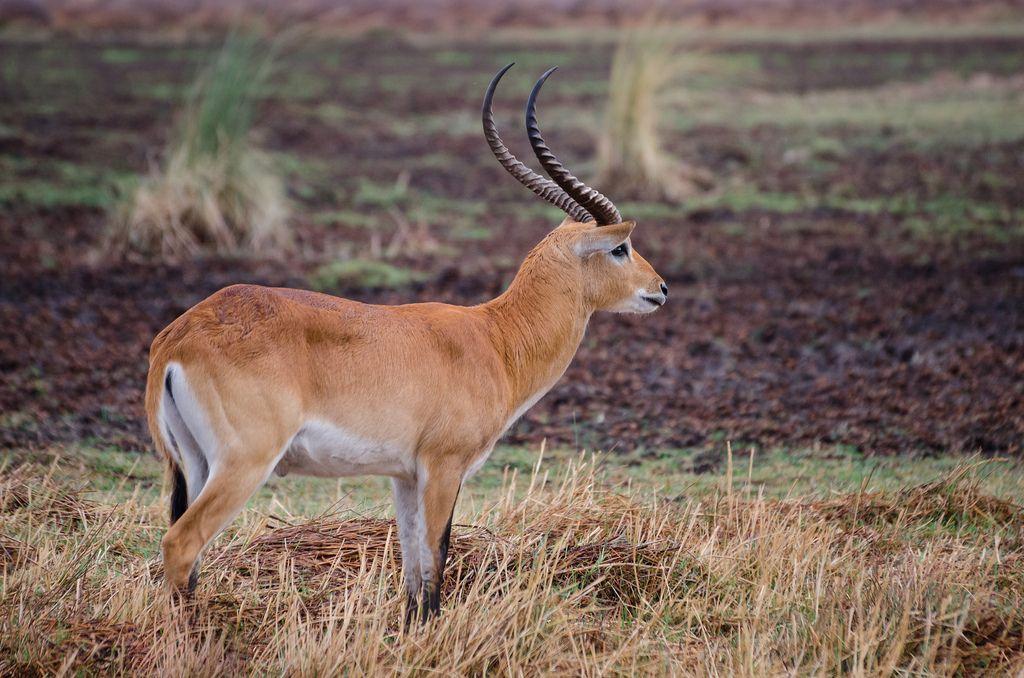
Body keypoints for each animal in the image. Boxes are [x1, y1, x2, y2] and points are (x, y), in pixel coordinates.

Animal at [146, 66, 671, 622]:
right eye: (621, 247)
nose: (661, 288)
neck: (495, 337)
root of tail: (178, 336)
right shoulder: (444, 467)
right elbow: (437, 558)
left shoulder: (404, 476)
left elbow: (413, 569)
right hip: (243, 463)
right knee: (180, 544)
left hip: (195, 464)